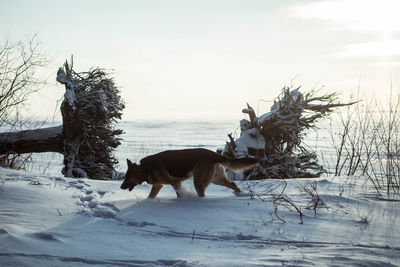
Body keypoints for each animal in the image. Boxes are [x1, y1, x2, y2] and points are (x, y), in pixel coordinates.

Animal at [120, 149, 256, 199]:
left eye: (127, 177)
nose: (121, 187)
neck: (143, 169)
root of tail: (213, 154)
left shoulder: (175, 183)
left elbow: (179, 194)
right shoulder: (158, 185)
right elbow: (151, 196)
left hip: (199, 182)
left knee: (202, 194)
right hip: (216, 180)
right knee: (233, 183)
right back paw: (241, 195)